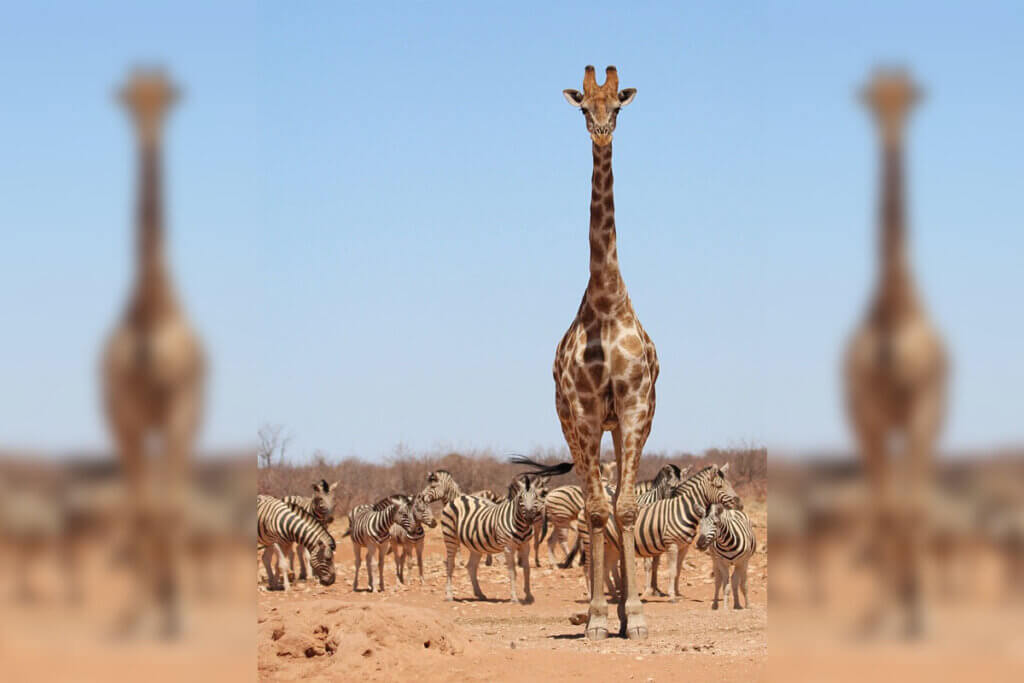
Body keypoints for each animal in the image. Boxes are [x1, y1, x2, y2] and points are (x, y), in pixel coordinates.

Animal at [577, 464, 745, 602]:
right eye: (719, 486)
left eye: (730, 484)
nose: (740, 504)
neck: (683, 509)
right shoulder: (671, 545)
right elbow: (670, 570)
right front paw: (671, 596)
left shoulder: (684, 547)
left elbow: (677, 570)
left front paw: (677, 593)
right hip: (590, 541)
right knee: (588, 567)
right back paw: (592, 596)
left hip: (611, 545)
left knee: (605, 568)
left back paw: (616, 596)